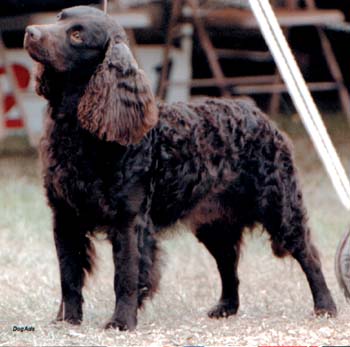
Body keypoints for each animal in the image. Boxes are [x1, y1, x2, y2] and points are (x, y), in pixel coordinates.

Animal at [23, 4, 336, 332]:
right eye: (59, 18)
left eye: (77, 35)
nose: (30, 31)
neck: (81, 132)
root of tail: (255, 112)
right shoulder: (64, 217)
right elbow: (68, 277)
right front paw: (67, 321)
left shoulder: (129, 220)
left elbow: (126, 277)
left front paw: (122, 321)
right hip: (214, 223)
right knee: (229, 266)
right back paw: (226, 307)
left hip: (280, 208)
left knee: (309, 256)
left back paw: (325, 306)